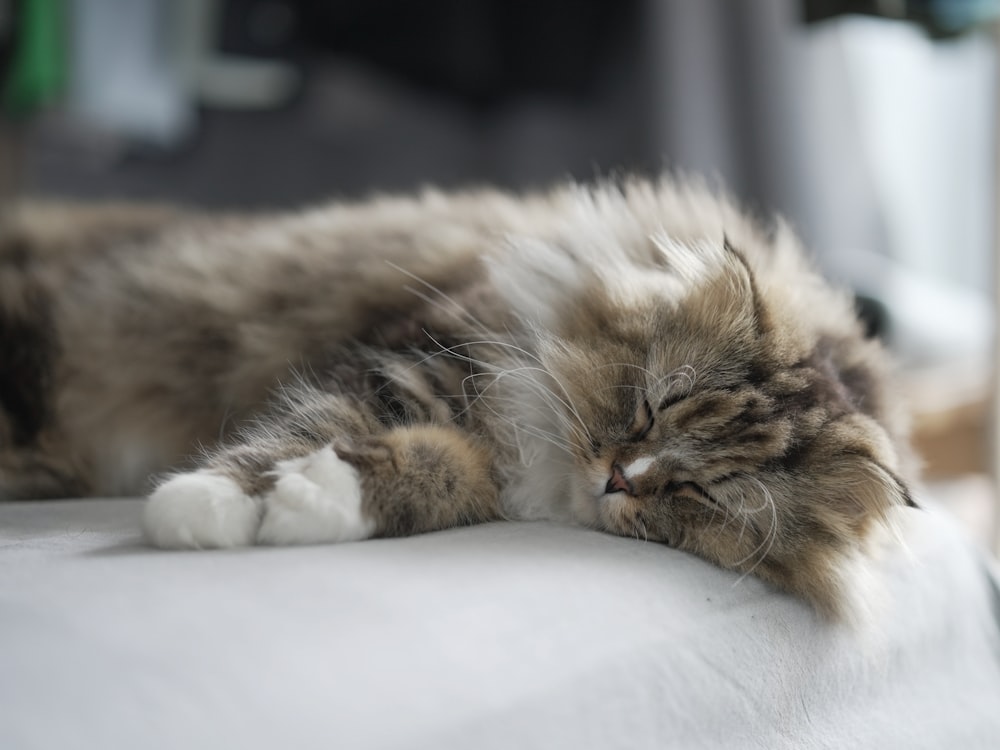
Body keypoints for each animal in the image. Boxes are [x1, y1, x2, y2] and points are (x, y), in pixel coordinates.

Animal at [0, 178, 916, 624]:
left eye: (697, 492)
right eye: (650, 408)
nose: (618, 477)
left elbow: (443, 472)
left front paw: (307, 499)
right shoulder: (421, 357)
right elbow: (314, 426)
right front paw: (204, 503)